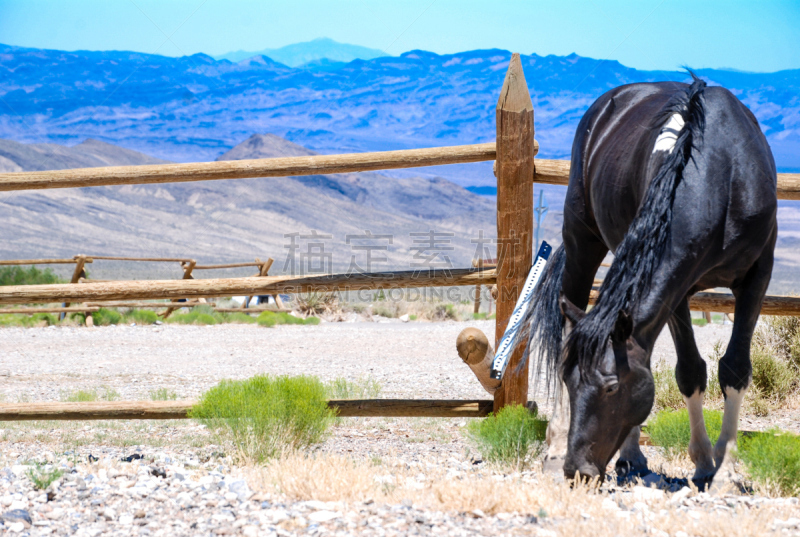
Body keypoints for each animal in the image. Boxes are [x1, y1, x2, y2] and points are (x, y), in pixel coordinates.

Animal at [524, 74, 776, 482]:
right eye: (569, 380)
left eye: (611, 388)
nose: (578, 470)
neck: (724, 173)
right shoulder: (680, 288)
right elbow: (690, 369)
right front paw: (704, 460)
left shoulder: (757, 276)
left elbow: (734, 367)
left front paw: (724, 468)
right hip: (582, 241)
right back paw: (559, 443)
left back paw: (631, 456)